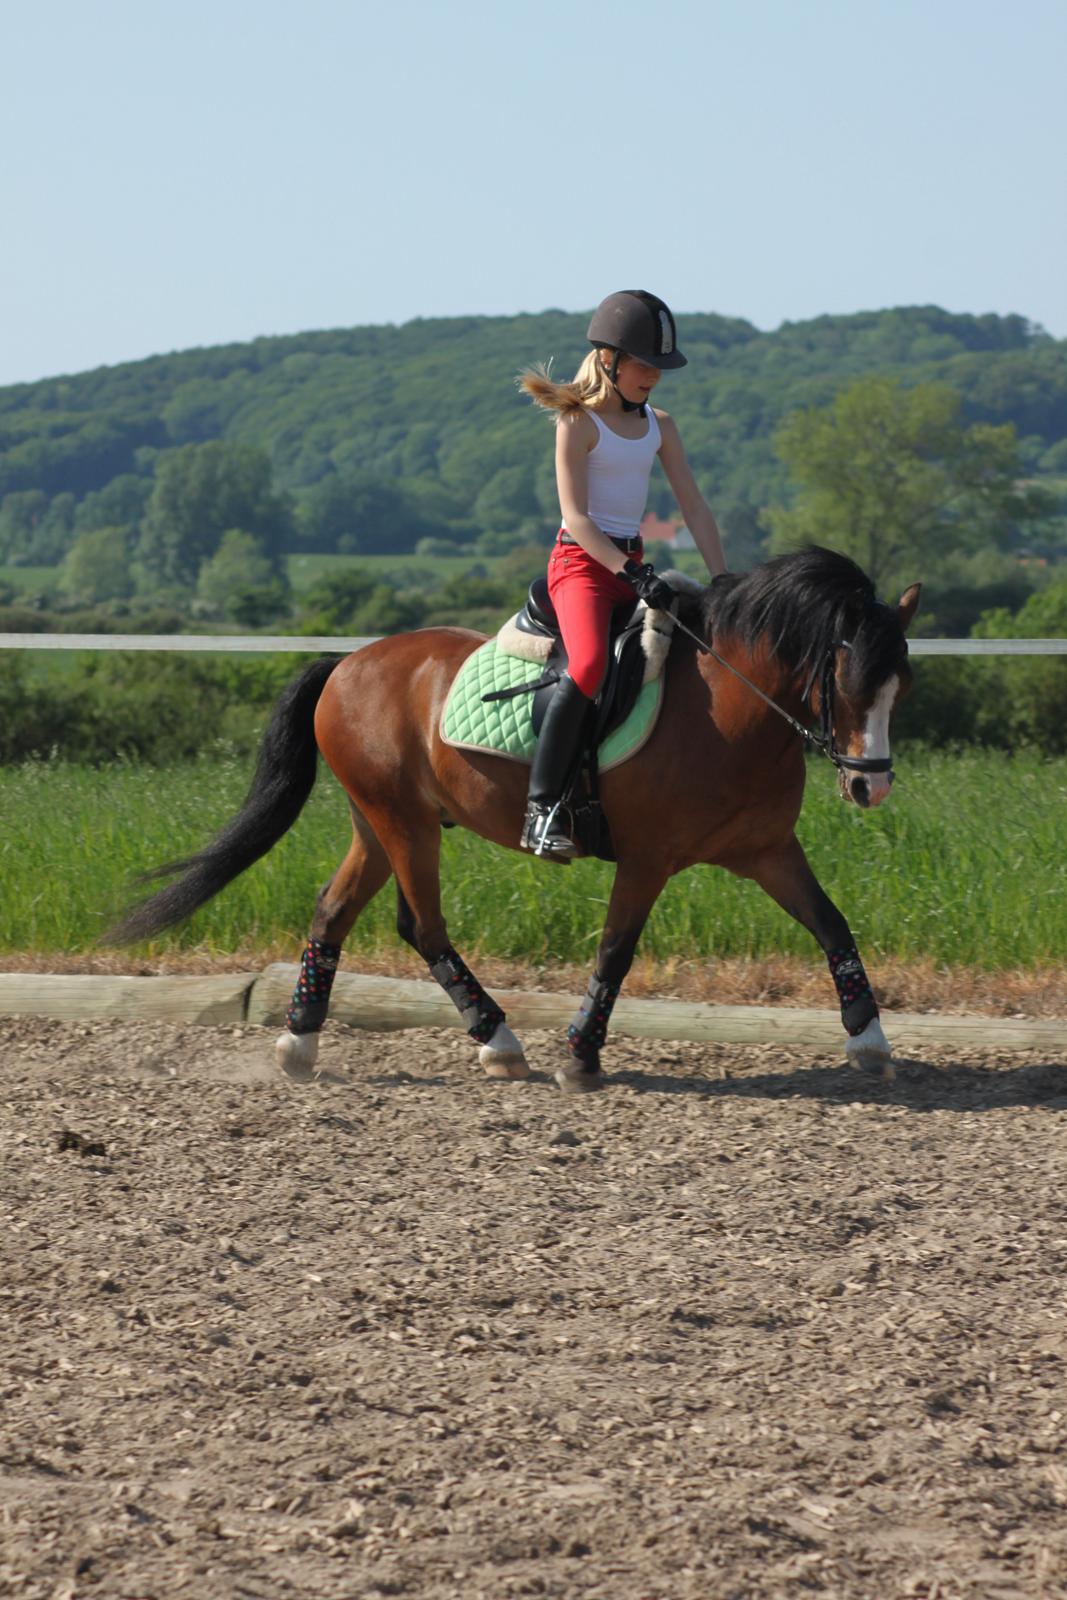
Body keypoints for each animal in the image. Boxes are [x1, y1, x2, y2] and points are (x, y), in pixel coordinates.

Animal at [108, 546, 921, 1093]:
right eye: (846, 679)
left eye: (901, 684)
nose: (869, 788)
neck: (731, 706)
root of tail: (346, 663)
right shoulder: (647, 858)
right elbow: (615, 951)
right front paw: (580, 1057)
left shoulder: (767, 850)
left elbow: (832, 925)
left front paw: (870, 1039)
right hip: (401, 821)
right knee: (421, 926)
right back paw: (497, 1040)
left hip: (379, 820)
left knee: (334, 911)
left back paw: (299, 1047)